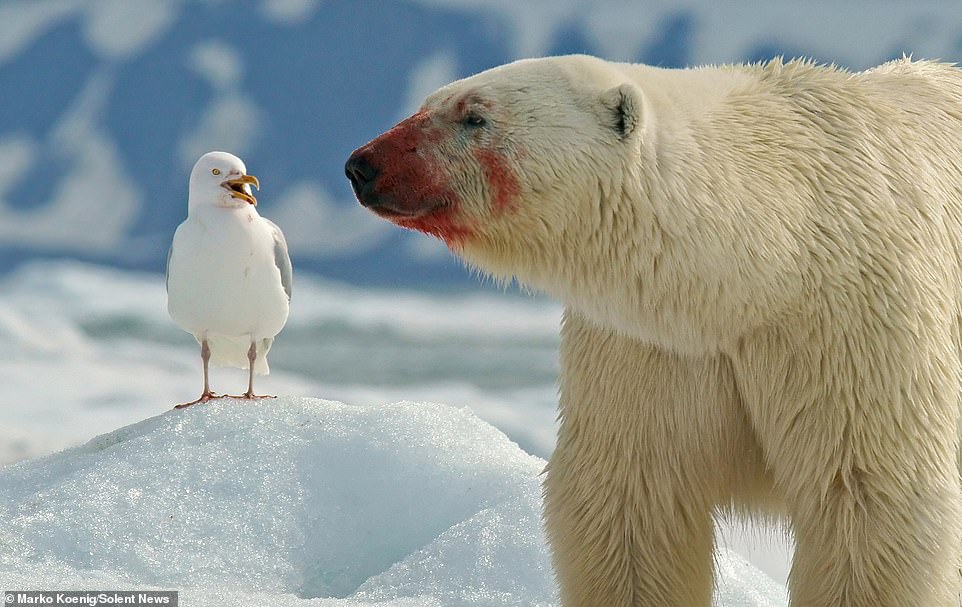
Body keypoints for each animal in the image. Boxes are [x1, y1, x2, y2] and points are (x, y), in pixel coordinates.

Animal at [344, 54, 962, 604]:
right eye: (425, 103)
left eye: (474, 116)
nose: (362, 164)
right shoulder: (651, 344)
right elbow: (631, 498)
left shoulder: (850, 318)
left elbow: (868, 494)